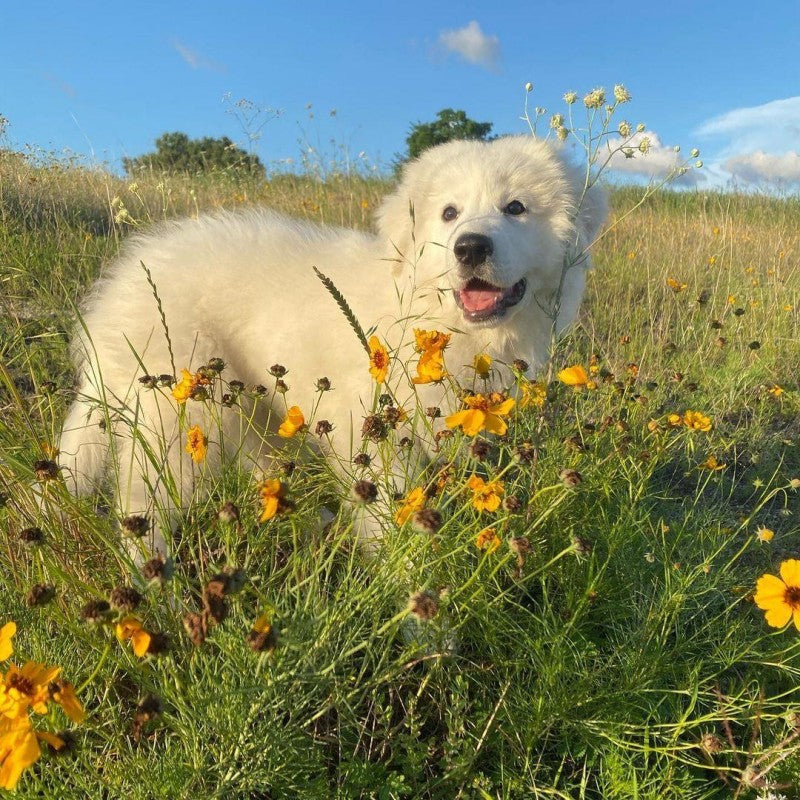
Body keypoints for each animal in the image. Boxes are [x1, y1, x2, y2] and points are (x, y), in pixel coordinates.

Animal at [57, 134, 608, 552]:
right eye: (449, 213)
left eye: (516, 208)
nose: (470, 247)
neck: (442, 322)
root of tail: (121, 284)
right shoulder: (371, 436)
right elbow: (391, 525)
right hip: (180, 414)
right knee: (139, 506)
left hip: (248, 408)